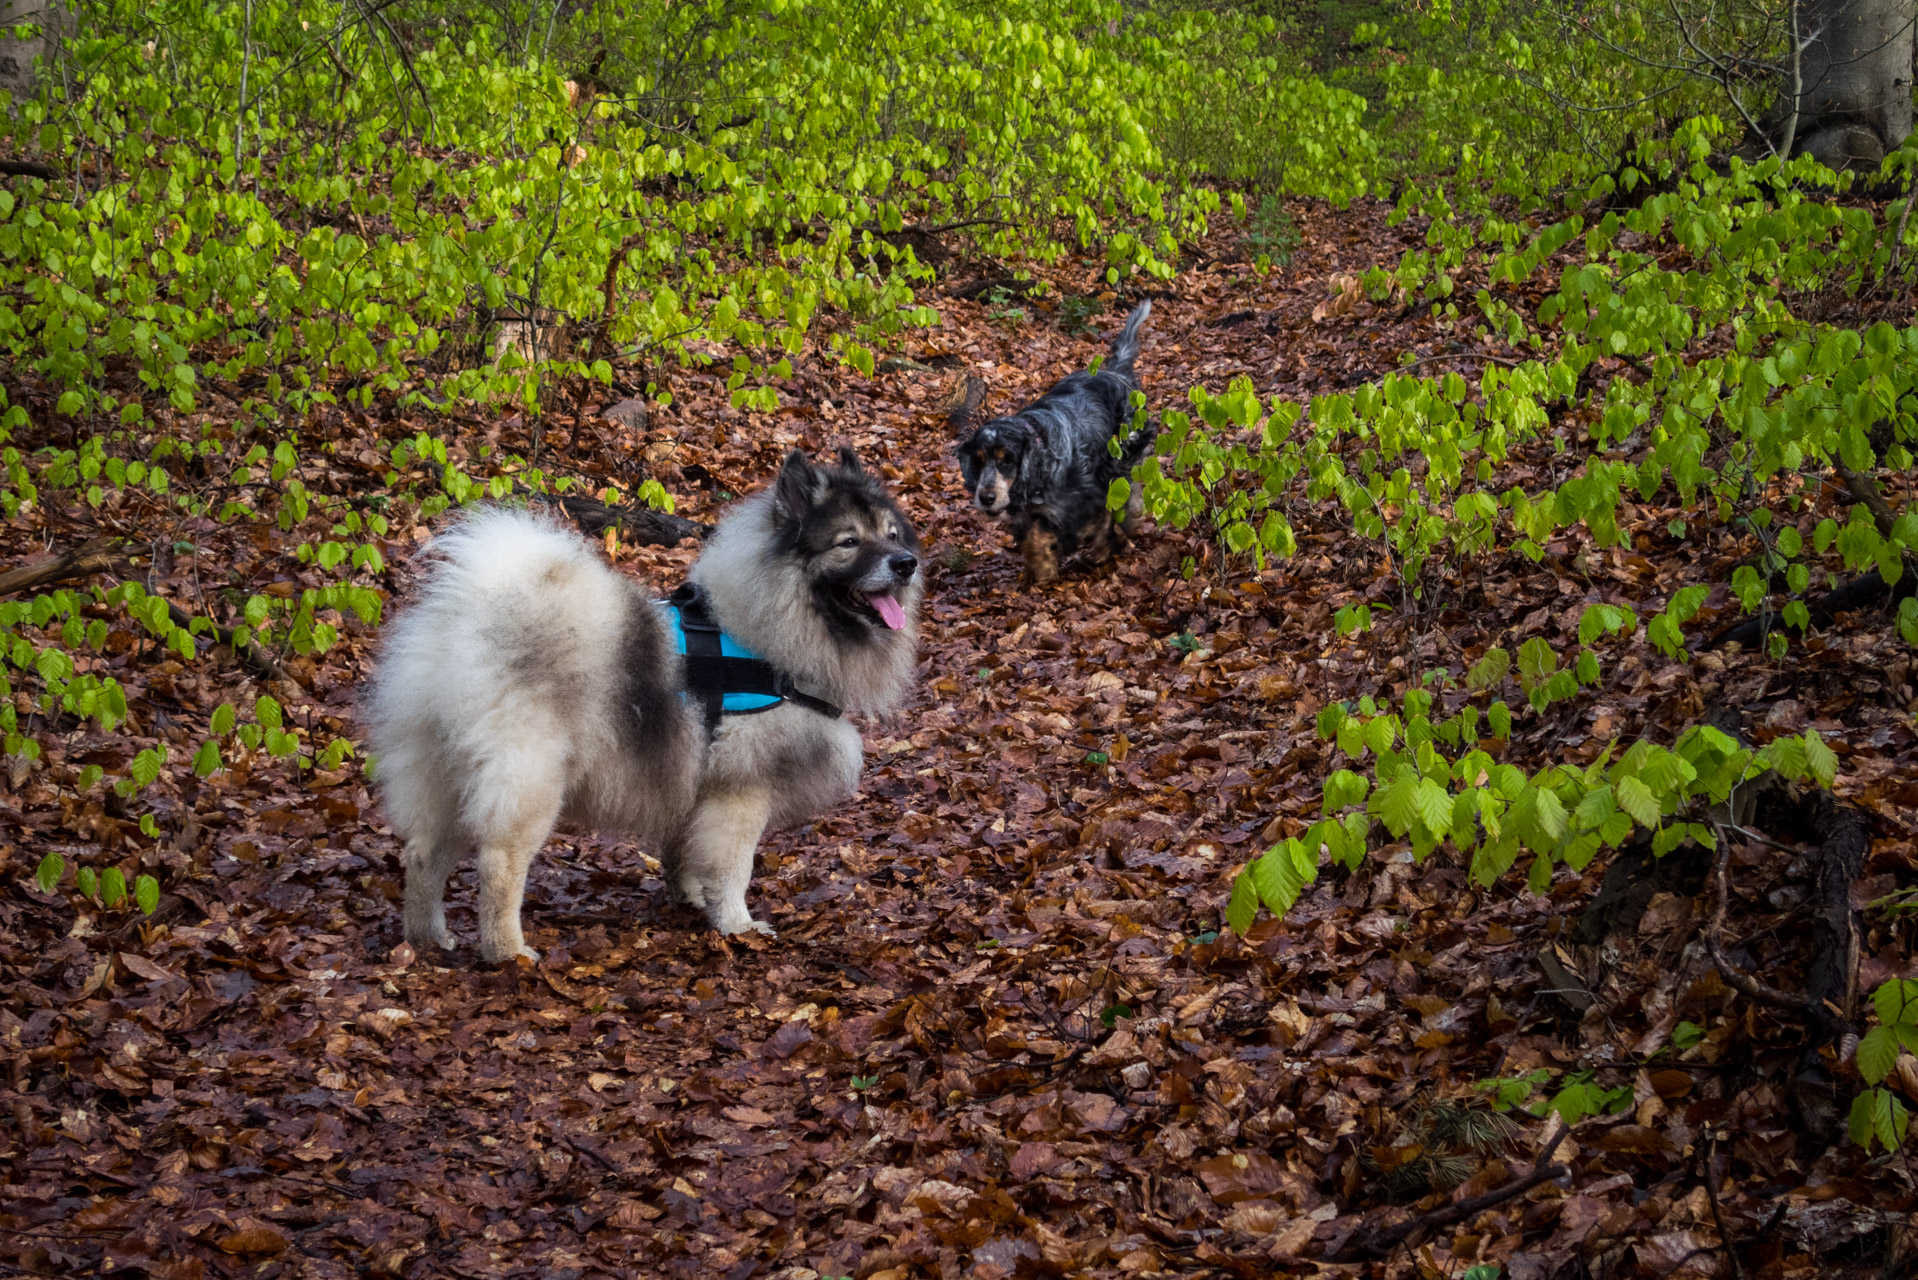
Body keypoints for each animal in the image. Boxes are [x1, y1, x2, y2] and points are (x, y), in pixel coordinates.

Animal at [368, 450, 928, 959]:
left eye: (892, 535)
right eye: (848, 542)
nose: (906, 564)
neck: (767, 633)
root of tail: (468, 620)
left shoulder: (695, 782)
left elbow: (686, 852)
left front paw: (692, 899)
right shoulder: (740, 790)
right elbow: (734, 865)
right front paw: (737, 925)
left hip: (444, 772)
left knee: (423, 853)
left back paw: (427, 938)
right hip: (529, 779)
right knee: (499, 863)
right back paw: (508, 951)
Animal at [955, 301, 1150, 579]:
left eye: (1007, 460)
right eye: (979, 461)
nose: (986, 498)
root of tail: (1116, 372)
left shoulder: (1082, 498)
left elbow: (1078, 523)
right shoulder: (1030, 513)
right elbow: (1033, 537)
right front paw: (1040, 568)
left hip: (1122, 453)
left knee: (1126, 492)